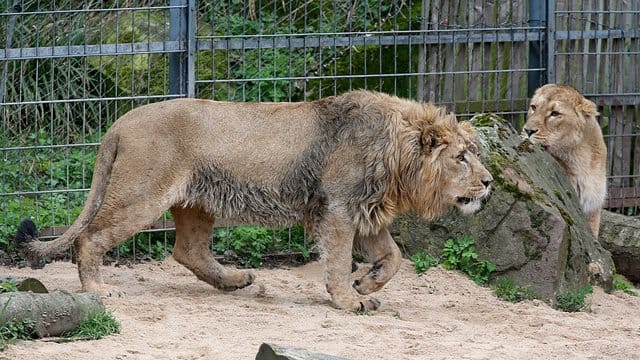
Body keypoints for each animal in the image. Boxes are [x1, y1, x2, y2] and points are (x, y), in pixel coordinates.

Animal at [16, 90, 496, 312]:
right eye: (461, 157)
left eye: (474, 153)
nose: (490, 182)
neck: (398, 158)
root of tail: (121, 121)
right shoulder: (337, 209)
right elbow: (339, 260)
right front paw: (348, 299)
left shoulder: (365, 212)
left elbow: (394, 257)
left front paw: (367, 284)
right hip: (142, 196)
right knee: (90, 238)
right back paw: (97, 289)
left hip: (197, 202)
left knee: (187, 250)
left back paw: (236, 281)